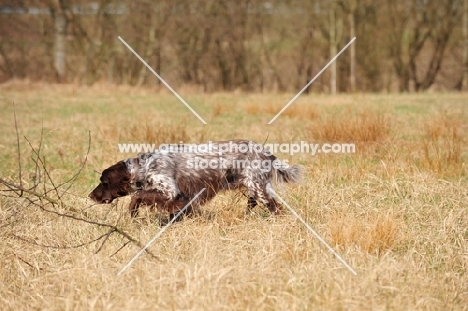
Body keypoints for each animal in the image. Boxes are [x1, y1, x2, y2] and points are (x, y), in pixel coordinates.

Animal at [89, 140, 304, 218]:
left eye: (104, 181)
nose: (90, 196)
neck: (145, 166)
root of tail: (266, 152)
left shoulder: (171, 192)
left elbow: (137, 196)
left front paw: (132, 213)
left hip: (258, 187)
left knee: (276, 207)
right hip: (253, 186)